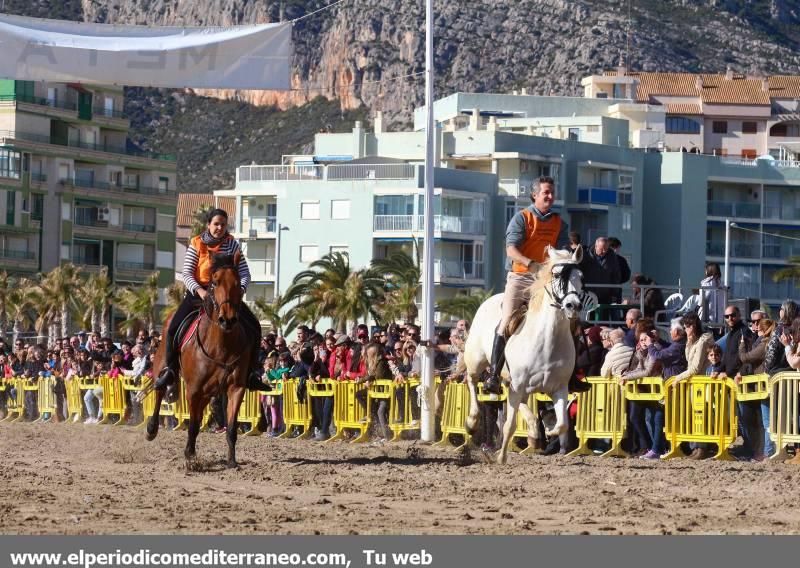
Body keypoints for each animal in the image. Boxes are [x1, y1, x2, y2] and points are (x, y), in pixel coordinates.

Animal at [145, 251, 252, 468]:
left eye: (238, 283)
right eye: (214, 282)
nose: (227, 319)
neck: (221, 345)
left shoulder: (236, 388)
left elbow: (231, 427)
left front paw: (232, 461)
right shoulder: (193, 390)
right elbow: (193, 425)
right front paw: (189, 456)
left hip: (208, 392)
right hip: (162, 364)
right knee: (159, 390)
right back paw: (152, 429)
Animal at [462, 246, 588, 464]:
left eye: (580, 276)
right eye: (557, 275)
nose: (573, 305)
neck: (547, 341)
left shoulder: (559, 388)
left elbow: (562, 423)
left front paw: (550, 432)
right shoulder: (518, 384)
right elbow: (509, 425)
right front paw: (501, 457)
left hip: (514, 383)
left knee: (520, 403)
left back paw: (533, 433)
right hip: (477, 361)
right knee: (471, 381)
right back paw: (471, 422)